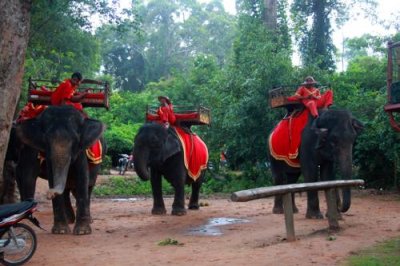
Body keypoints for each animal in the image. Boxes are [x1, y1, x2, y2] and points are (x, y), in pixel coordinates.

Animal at [15, 106, 106, 235]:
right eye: (45, 139)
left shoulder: (81, 149)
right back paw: (70, 220)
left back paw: (87, 220)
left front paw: (82, 232)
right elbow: (49, 176)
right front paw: (61, 231)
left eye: (75, 139)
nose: (49, 194)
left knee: (89, 185)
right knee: (68, 189)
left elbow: (82, 177)